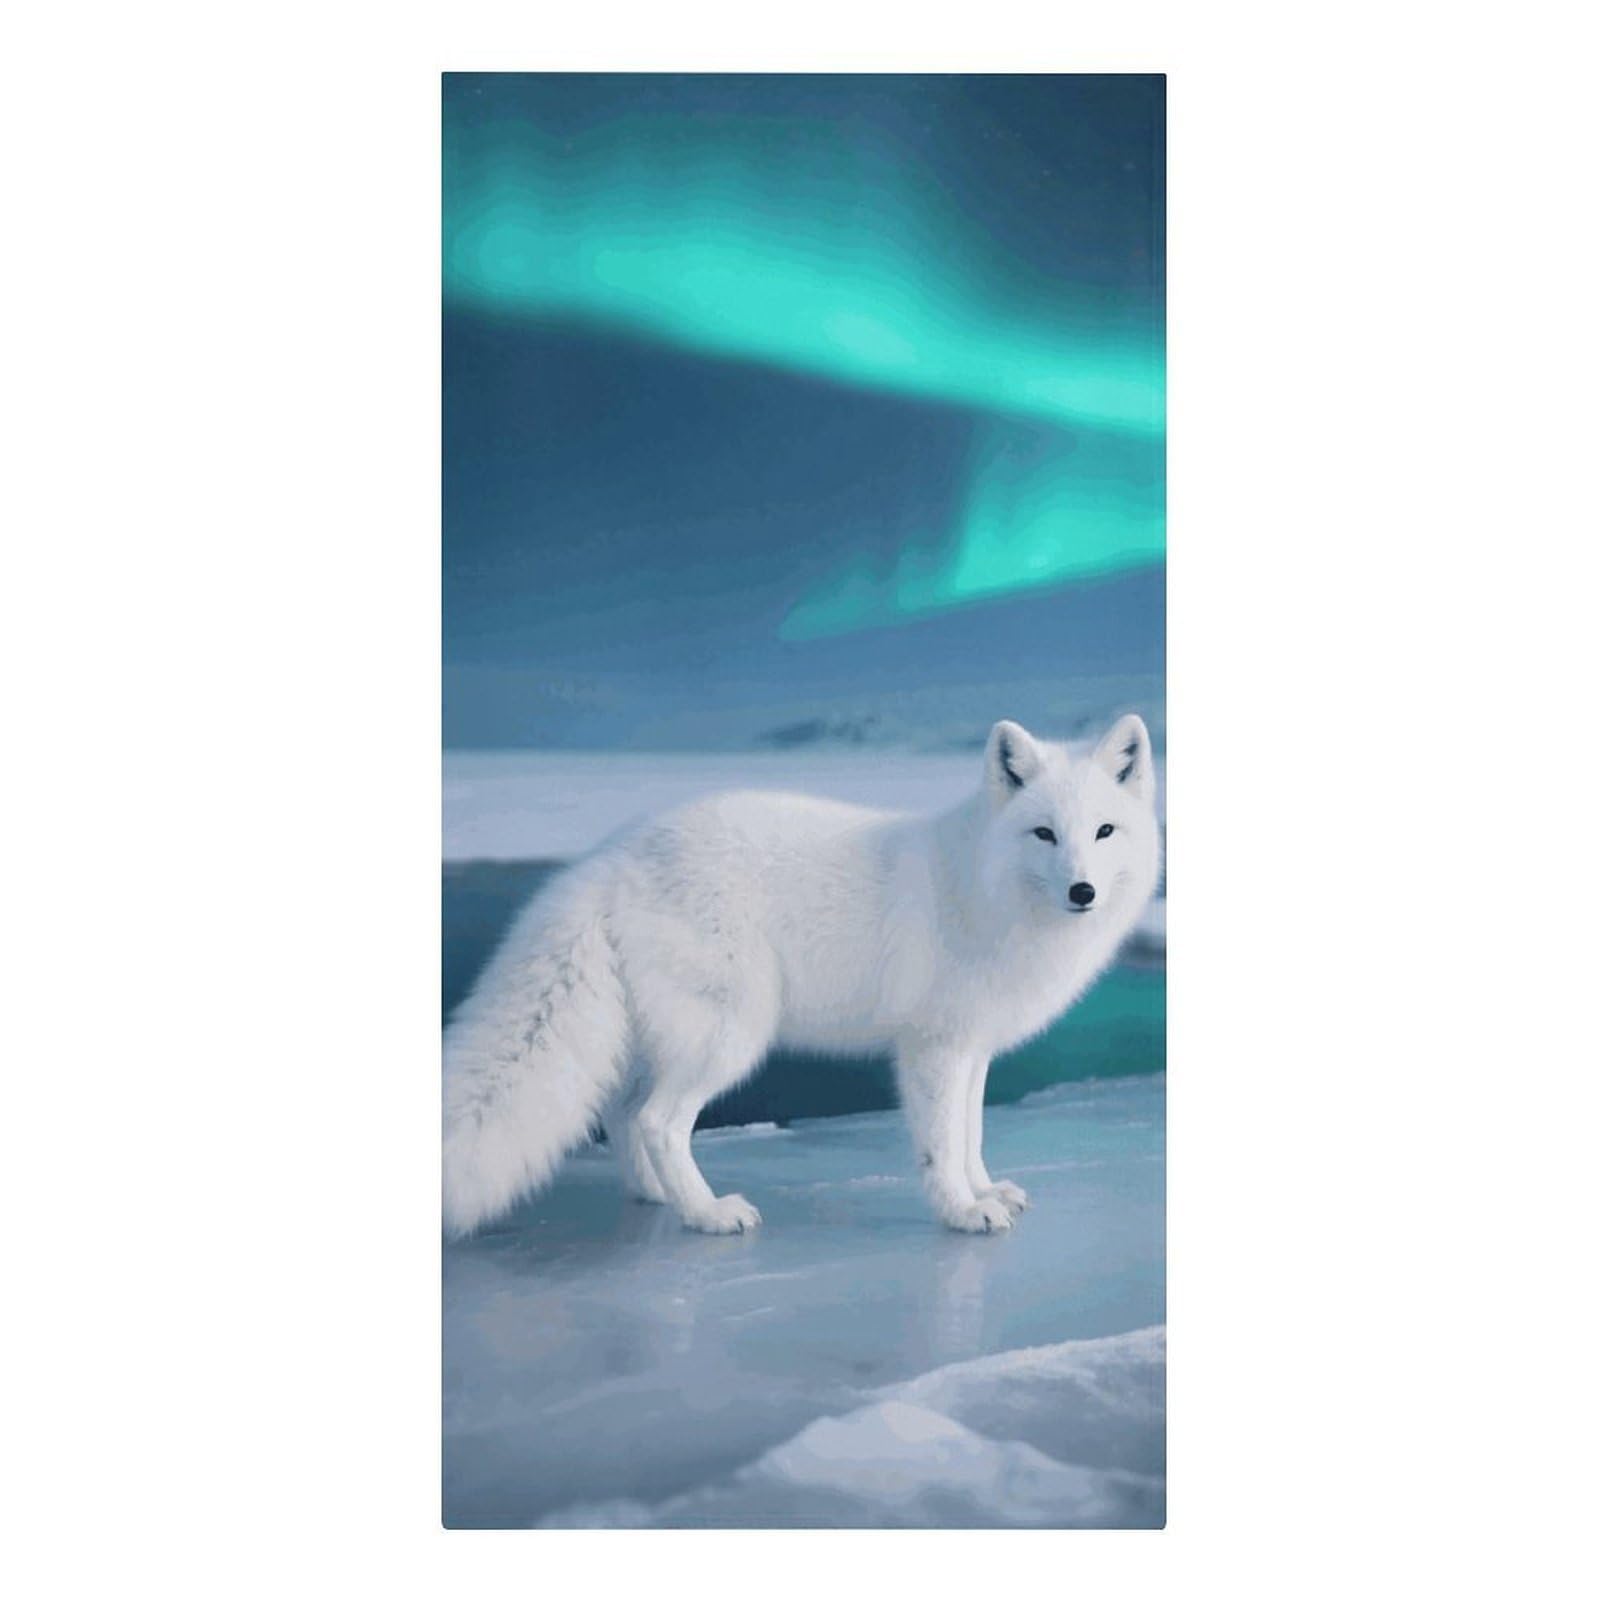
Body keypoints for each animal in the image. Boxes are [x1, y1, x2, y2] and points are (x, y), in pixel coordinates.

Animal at [443, 715, 1161, 1238]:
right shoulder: (932, 1048)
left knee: (622, 1112)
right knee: (657, 1121)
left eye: (1104, 831)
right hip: (730, 1035)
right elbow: (941, 1144)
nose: (1083, 891)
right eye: (1044, 834)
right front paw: (962, 1210)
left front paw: (986, 1188)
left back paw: (656, 1195)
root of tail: (610, 859)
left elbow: (971, 1133)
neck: (981, 889)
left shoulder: (972, 1047)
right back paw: (707, 1213)